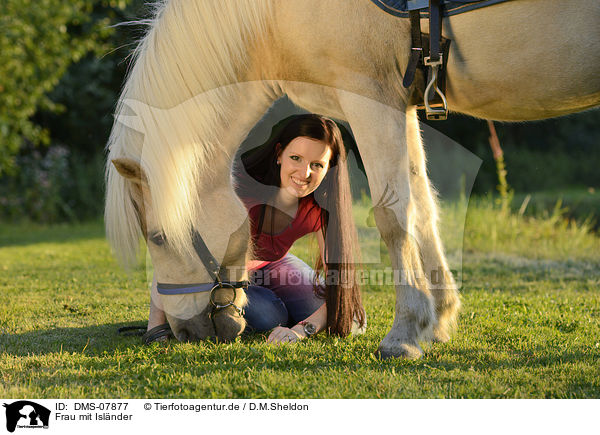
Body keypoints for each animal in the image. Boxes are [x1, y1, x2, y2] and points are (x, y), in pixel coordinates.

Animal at [104, 0, 600, 360]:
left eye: (159, 238)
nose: (185, 331)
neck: (270, 13)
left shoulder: (370, 97)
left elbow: (394, 217)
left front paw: (404, 334)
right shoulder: (401, 104)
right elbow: (422, 206)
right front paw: (437, 319)